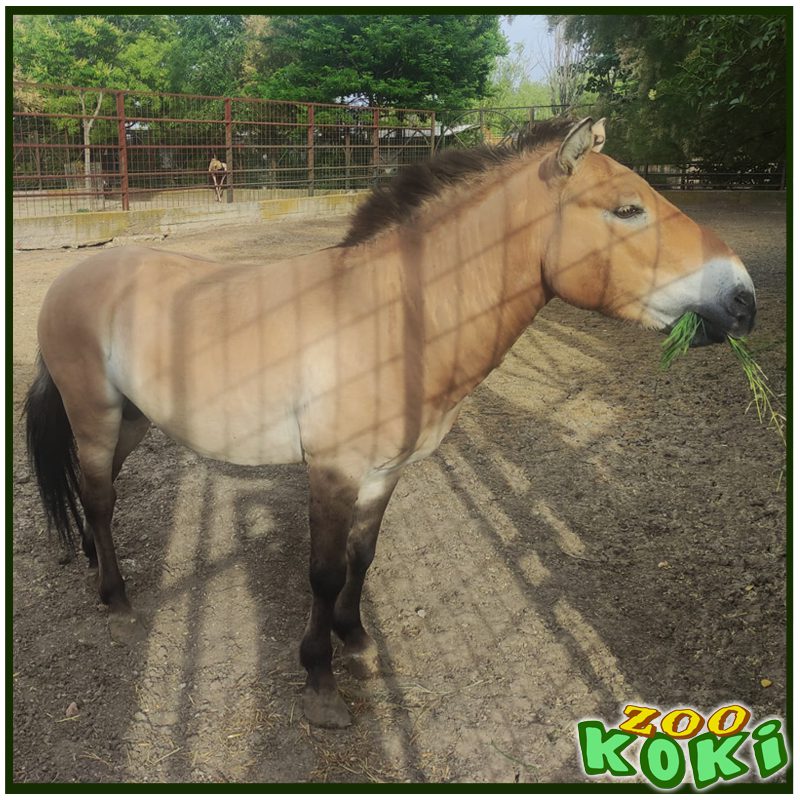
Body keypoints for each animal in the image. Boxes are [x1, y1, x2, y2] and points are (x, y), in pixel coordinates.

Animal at [24, 118, 756, 729]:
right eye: (627, 209)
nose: (743, 299)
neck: (396, 318)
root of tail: (74, 276)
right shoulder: (333, 471)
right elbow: (322, 572)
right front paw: (320, 682)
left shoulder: (384, 472)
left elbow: (362, 556)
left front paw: (355, 639)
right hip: (97, 415)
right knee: (99, 495)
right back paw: (116, 597)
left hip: (133, 421)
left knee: (96, 492)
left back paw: (93, 561)